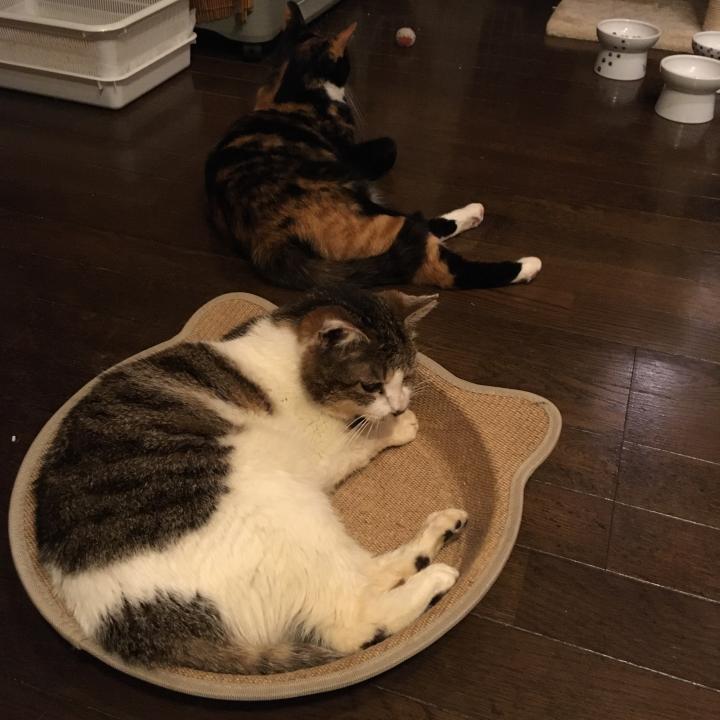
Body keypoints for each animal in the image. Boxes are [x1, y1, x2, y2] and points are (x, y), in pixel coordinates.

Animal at [34, 287, 469, 674]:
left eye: (407, 376)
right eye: (371, 385)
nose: (399, 405)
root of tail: (140, 624)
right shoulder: (321, 455)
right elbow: (359, 439)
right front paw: (397, 426)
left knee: (366, 576)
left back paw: (441, 530)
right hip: (284, 499)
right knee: (351, 620)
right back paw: (436, 577)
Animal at [205, 2, 542, 291]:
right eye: (346, 63)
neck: (290, 89)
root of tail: (267, 240)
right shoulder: (354, 152)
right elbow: (390, 145)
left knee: (425, 226)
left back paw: (474, 215)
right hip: (378, 222)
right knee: (437, 258)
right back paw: (525, 262)